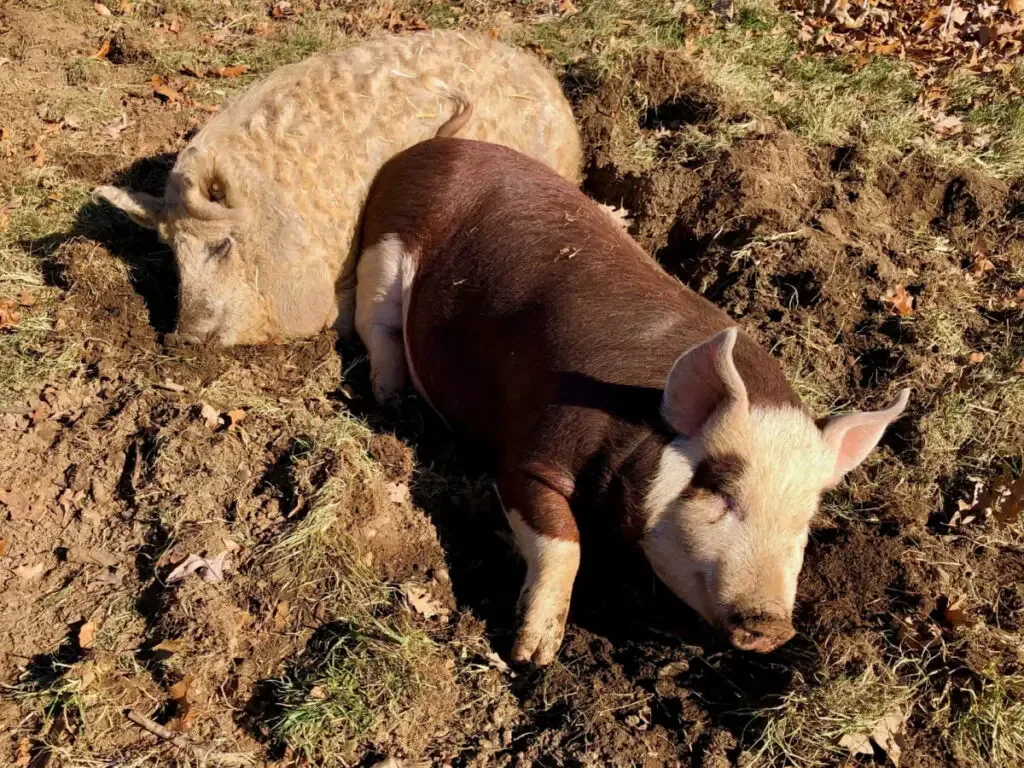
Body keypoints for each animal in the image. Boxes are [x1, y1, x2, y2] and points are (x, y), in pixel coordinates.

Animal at [354, 138, 913, 667]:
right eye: (719, 491)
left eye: (804, 521)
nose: (772, 626)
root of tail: (440, 145)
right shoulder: (527, 457)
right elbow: (564, 543)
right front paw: (533, 656)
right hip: (385, 246)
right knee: (376, 326)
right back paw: (393, 402)